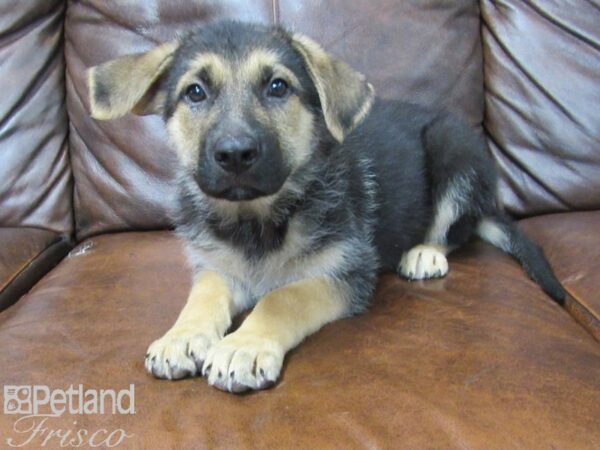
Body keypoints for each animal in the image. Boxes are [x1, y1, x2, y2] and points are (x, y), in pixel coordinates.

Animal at [86, 22, 564, 394]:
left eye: (277, 86)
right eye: (195, 93)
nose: (235, 154)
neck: (258, 220)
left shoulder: (347, 270)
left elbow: (282, 296)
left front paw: (243, 345)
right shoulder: (218, 266)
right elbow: (202, 296)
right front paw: (182, 336)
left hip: (455, 149)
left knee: (454, 230)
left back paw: (424, 253)